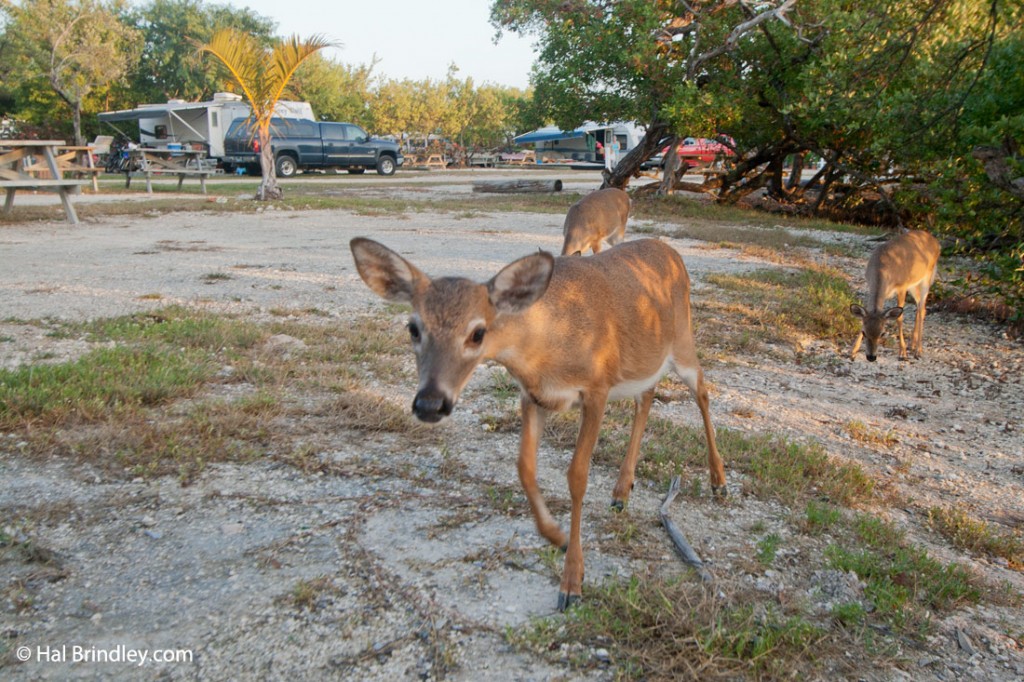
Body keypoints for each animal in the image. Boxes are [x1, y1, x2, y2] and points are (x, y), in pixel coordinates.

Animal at [352, 236, 729, 606]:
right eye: (413, 328)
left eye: (477, 333)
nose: (430, 403)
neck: (546, 349)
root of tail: (671, 251)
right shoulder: (533, 397)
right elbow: (524, 467)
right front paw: (557, 536)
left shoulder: (597, 387)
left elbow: (577, 475)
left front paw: (572, 581)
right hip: (646, 358)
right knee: (647, 397)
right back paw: (622, 490)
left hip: (682, 340)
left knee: (702, 391)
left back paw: (719, 481)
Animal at [851, 228, 937, 360]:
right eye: (864, 332)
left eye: (882, 333)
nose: (871, 357)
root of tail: (935, 240)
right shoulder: (871, 285)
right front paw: (853, 351)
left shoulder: (902, 286)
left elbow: (899, 318)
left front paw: (902, 352)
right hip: (913, 285)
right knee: (919, 307)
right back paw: (912, 344)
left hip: (927, 278)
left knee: (922, 307)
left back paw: (918, 350)